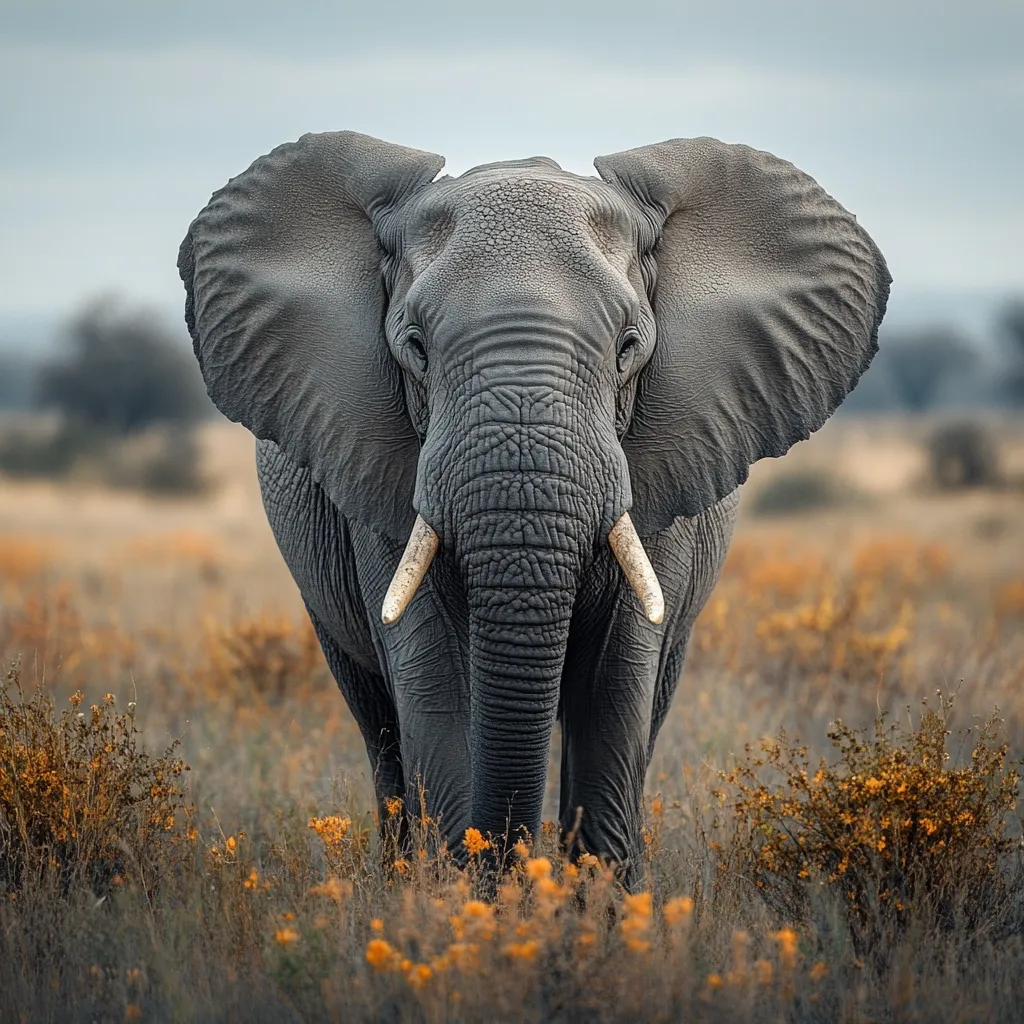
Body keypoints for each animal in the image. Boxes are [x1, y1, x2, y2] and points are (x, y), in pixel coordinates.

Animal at [178, 131, 889, 885]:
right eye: (415, 348)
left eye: (629, 348)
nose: (509, 868)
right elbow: (435, 679)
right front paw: (460, 899)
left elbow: (615, 682)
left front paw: (598, 904)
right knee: (378, 723)